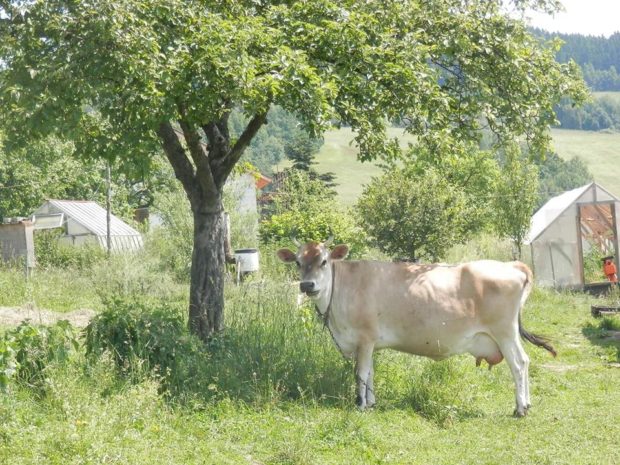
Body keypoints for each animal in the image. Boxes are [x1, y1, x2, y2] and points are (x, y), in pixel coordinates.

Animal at [276, 237, 556, 416]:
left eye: (323, 261)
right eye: (298, 262)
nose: (307, 285)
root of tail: (511, 265)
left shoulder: (364, 338)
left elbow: (361, 373)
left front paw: (361, 405)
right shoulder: (368, 343)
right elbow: (371, 373)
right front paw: (372, 403)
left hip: (504, 331)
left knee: (518, 364)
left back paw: (520, 408)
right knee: (526, 361)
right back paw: (527, 404)